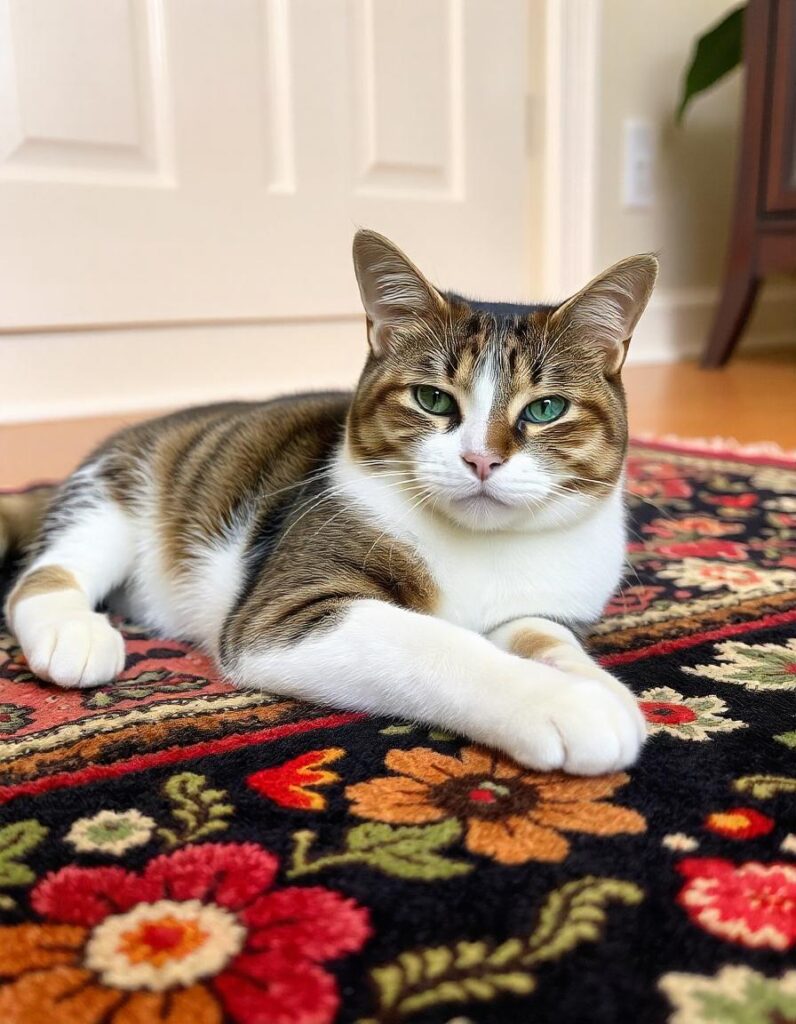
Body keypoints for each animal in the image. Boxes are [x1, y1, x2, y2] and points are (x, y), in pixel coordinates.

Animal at [0, 230, 655, 774]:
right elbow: (433, 644)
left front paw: (599, 686)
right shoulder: (285, 610)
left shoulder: (542, 605)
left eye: (545, 409)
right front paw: (566, 703)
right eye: (432, 399)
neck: (484, 545)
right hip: (113, 496)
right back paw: (73, 634)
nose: (481, 460)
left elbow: (546, 638)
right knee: (42, 574)